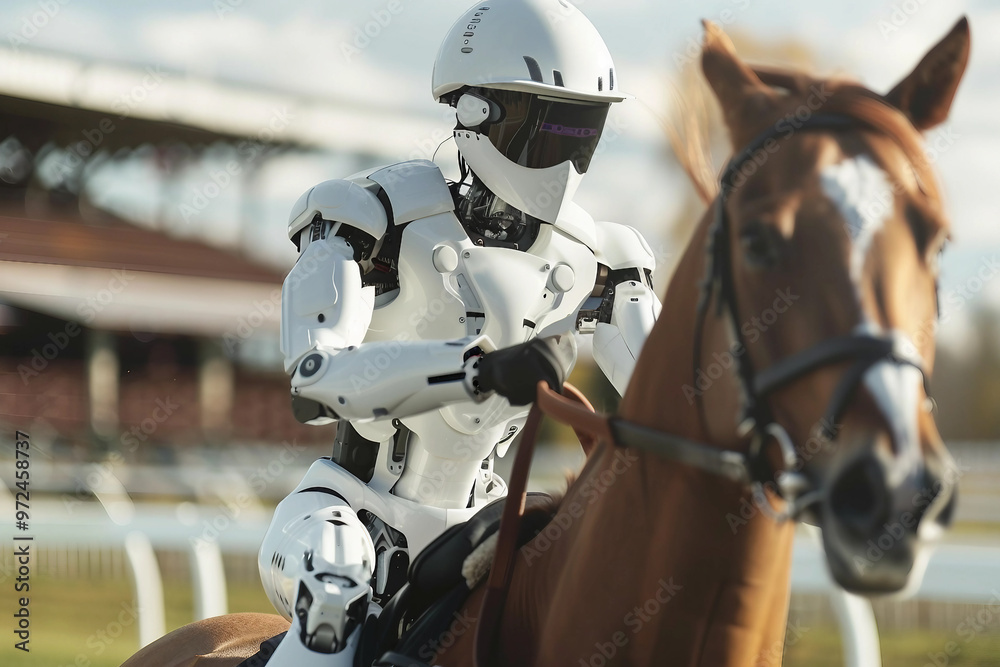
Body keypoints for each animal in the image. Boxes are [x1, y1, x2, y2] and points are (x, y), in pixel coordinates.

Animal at [121, 16, 970, 667]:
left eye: (936, 237)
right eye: (760, 240)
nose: (896, 489)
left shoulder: (618, 264)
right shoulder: (349, 217)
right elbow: (317, 363)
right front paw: (522, 362)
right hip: (333, 522)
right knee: (334, 577)